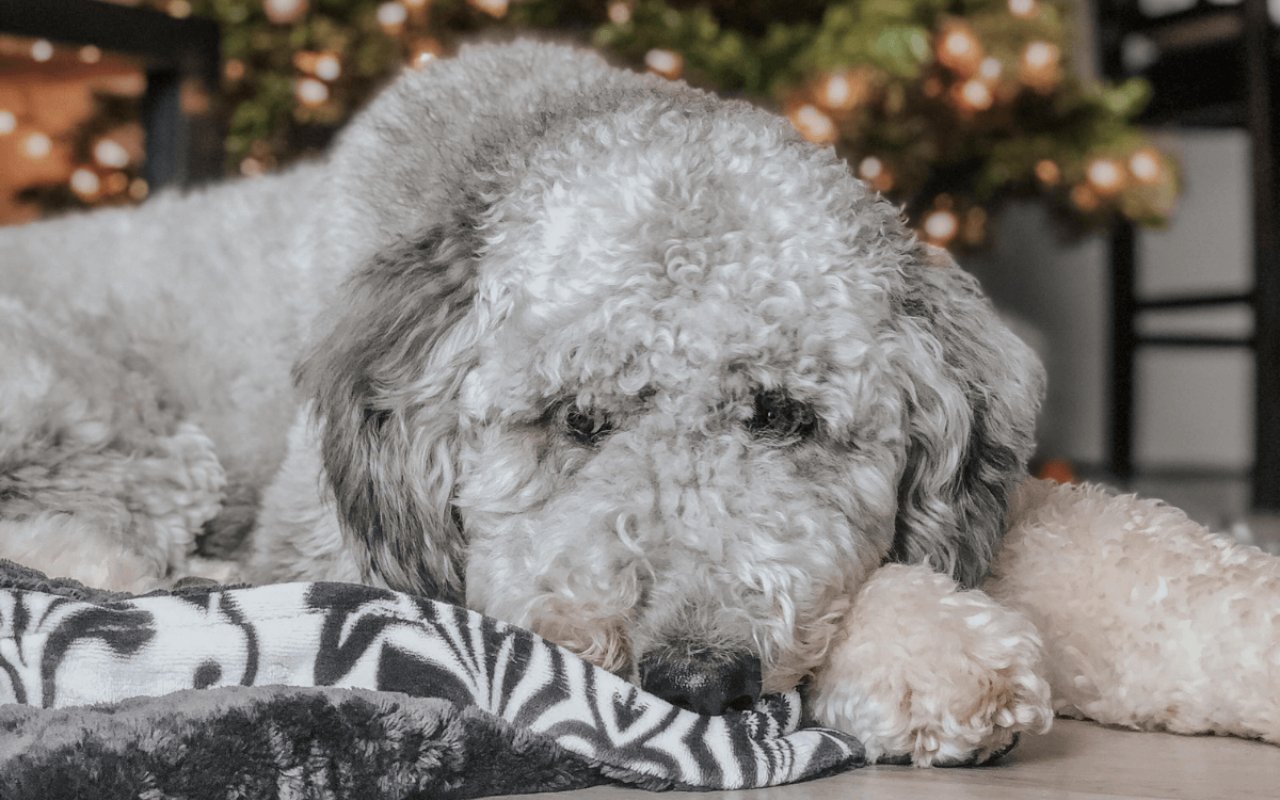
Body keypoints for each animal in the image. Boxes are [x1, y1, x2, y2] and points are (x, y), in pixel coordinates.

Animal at [5, 42, 1274, 762]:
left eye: (784, 413)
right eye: (574, 417)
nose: (696, 678)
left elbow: (1133, 554)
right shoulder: (348, 542)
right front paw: (931, 645)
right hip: (121, 431)